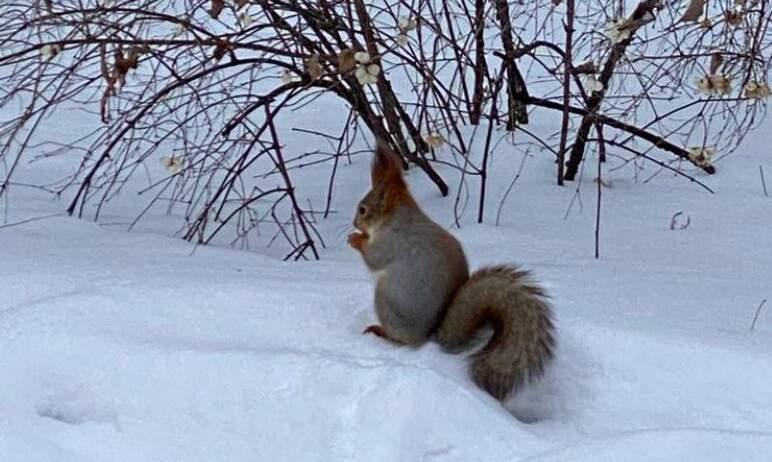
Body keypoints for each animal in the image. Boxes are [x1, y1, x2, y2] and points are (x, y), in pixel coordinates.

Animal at [348, 141, 556, 400]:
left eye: (363, 210)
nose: (354, 223)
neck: (397, 219)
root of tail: (429, 336)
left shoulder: (391, 243)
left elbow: (374, 259)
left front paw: (355, 239)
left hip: (386, 299)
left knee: (403, 340)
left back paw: (381, 331)